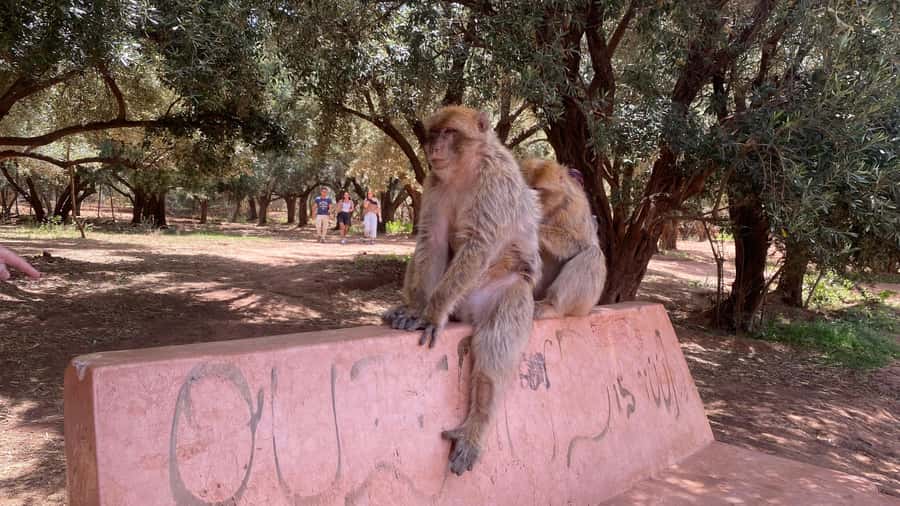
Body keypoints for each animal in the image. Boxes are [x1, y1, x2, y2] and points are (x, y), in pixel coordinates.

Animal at [383, 106, 541, 476]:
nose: (433, 148)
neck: (465, 170)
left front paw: (432, 313)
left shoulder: (496, 184)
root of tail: (464, 310)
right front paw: (419, 311)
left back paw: (475, 426)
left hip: (495, 293)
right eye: (433, 133)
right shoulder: (434, 183)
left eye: (450, 133)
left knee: (496, 346)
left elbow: (479, 244)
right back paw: (410, 305)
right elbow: (433, 239)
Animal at [520, 159, 607, 318]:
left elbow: (580, 242)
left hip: (582, 306)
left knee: (593, 254)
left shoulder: (574, 205)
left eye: (537, 190)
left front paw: (533, 227)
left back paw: (552, 306)